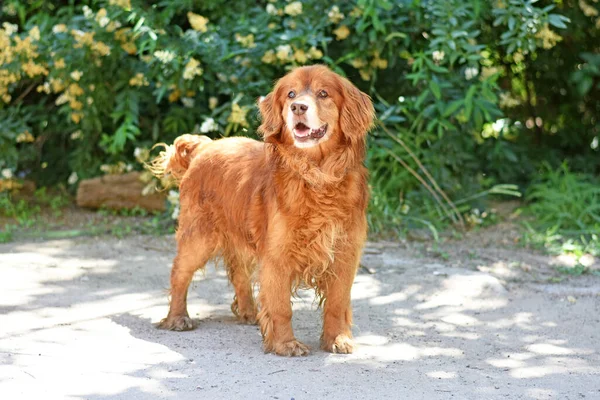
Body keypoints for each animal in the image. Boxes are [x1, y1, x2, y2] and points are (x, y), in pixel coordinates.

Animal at [150, 65, 372, 356]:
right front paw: (285, 343)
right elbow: (281, 307)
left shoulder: (345, 254)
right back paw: (177, 317)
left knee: (239, 274)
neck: (316, 176)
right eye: (291, 94)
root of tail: (206, 146)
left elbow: (336, 303)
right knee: (179, 273)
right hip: (199, 236)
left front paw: (337, 339)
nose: (298, 107)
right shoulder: (277, 255)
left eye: (323, 93)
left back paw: (248, 312)